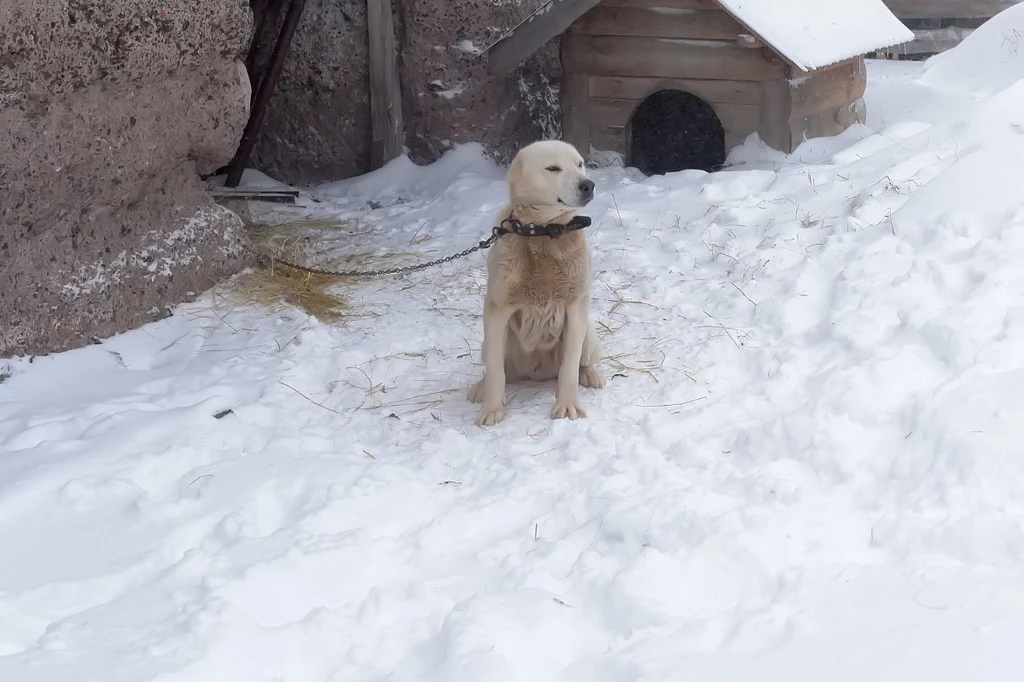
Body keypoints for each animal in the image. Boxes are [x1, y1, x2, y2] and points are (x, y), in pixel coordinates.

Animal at [468, 139, 602, 425]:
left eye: (580, 164)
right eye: (553, 168)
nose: (588, 184)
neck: (542, 233)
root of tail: (537, 373)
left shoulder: (576, 309)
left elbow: (570, 368)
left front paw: (567, 405)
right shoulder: (496, 312)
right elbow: (495, 371)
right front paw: (491, 408)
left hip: (588, 333)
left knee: (583, 362)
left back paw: (592, 375)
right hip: (489, 343)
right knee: (495, 368)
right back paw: (480, 388)